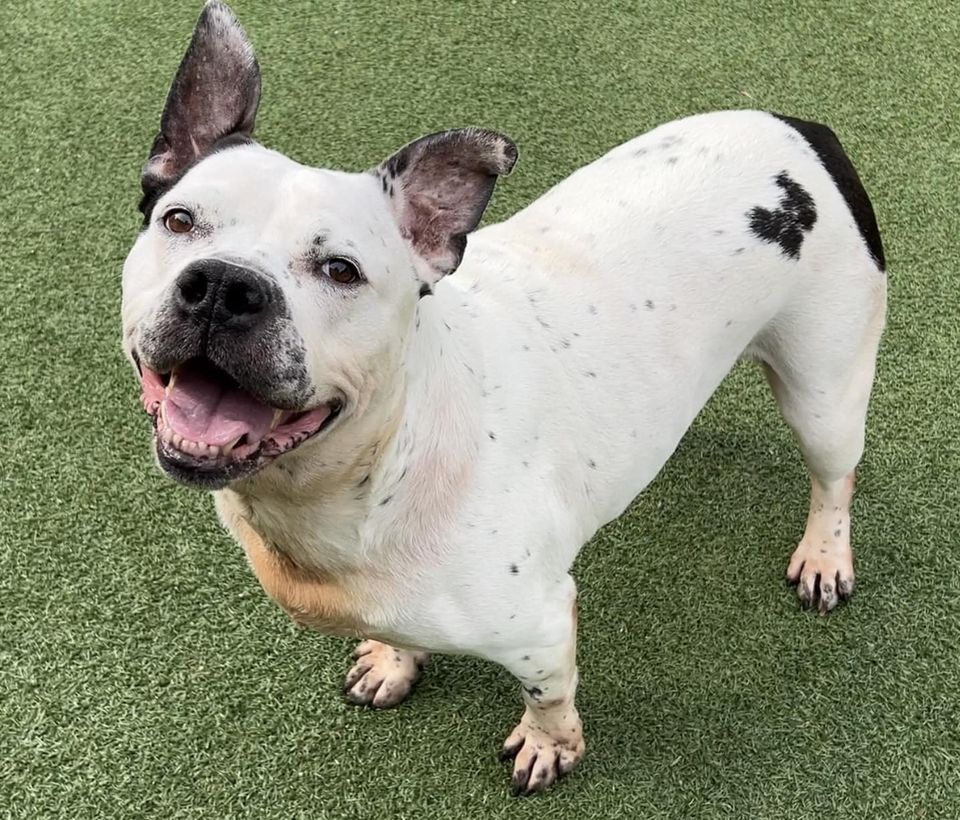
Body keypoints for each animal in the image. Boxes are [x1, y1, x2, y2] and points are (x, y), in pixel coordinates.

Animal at [120, 0, 884, 796]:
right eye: (179, 221)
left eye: (341, 270)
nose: (223, 286)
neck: (371, 471)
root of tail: (804, 128)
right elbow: (398, 633)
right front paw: (393, 662)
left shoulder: (540, 626)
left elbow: (549, 694)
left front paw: (549, 745)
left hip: (825, 394)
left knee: (834, 479)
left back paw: (825, 555)